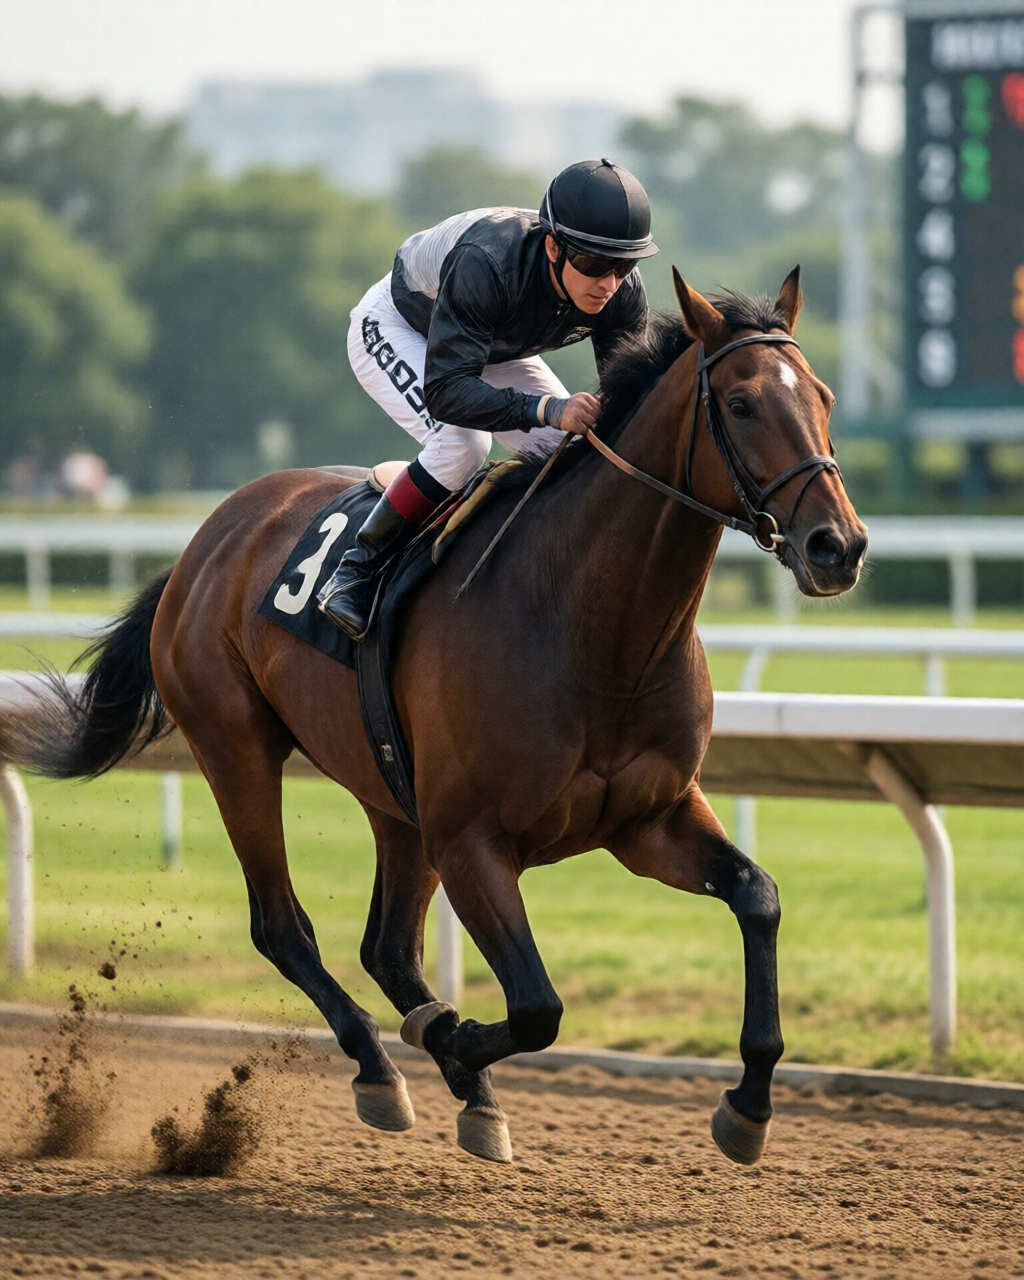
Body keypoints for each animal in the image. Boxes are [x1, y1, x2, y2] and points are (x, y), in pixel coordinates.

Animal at [7, 268, 866, 1167]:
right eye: (741, 403)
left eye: (823, 396)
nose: (838, 546)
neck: (594, 627)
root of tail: (205, 540)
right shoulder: (472, 841)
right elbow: (536, 1007)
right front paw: (449, 1042)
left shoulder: (648, 820)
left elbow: (757, 897)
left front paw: (749, 1103)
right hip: (235, 747)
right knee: (285, 928)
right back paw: (383, 1068)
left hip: (392, 793)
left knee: (386, 947)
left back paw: (459, 1081)